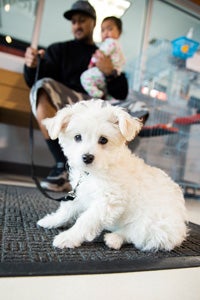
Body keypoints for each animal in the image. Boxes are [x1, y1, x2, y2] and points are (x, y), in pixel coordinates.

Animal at [37, 99, 188, 251]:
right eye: (77, 137)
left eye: (103, 140)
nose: (87, 157)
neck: (93, 173)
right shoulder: (80, 194)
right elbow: (67, 209)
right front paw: (51, 220)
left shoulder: (108, 201)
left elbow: (85, 220)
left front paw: (68, 237)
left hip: (153, 226)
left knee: (133, 234)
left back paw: (114, 239)